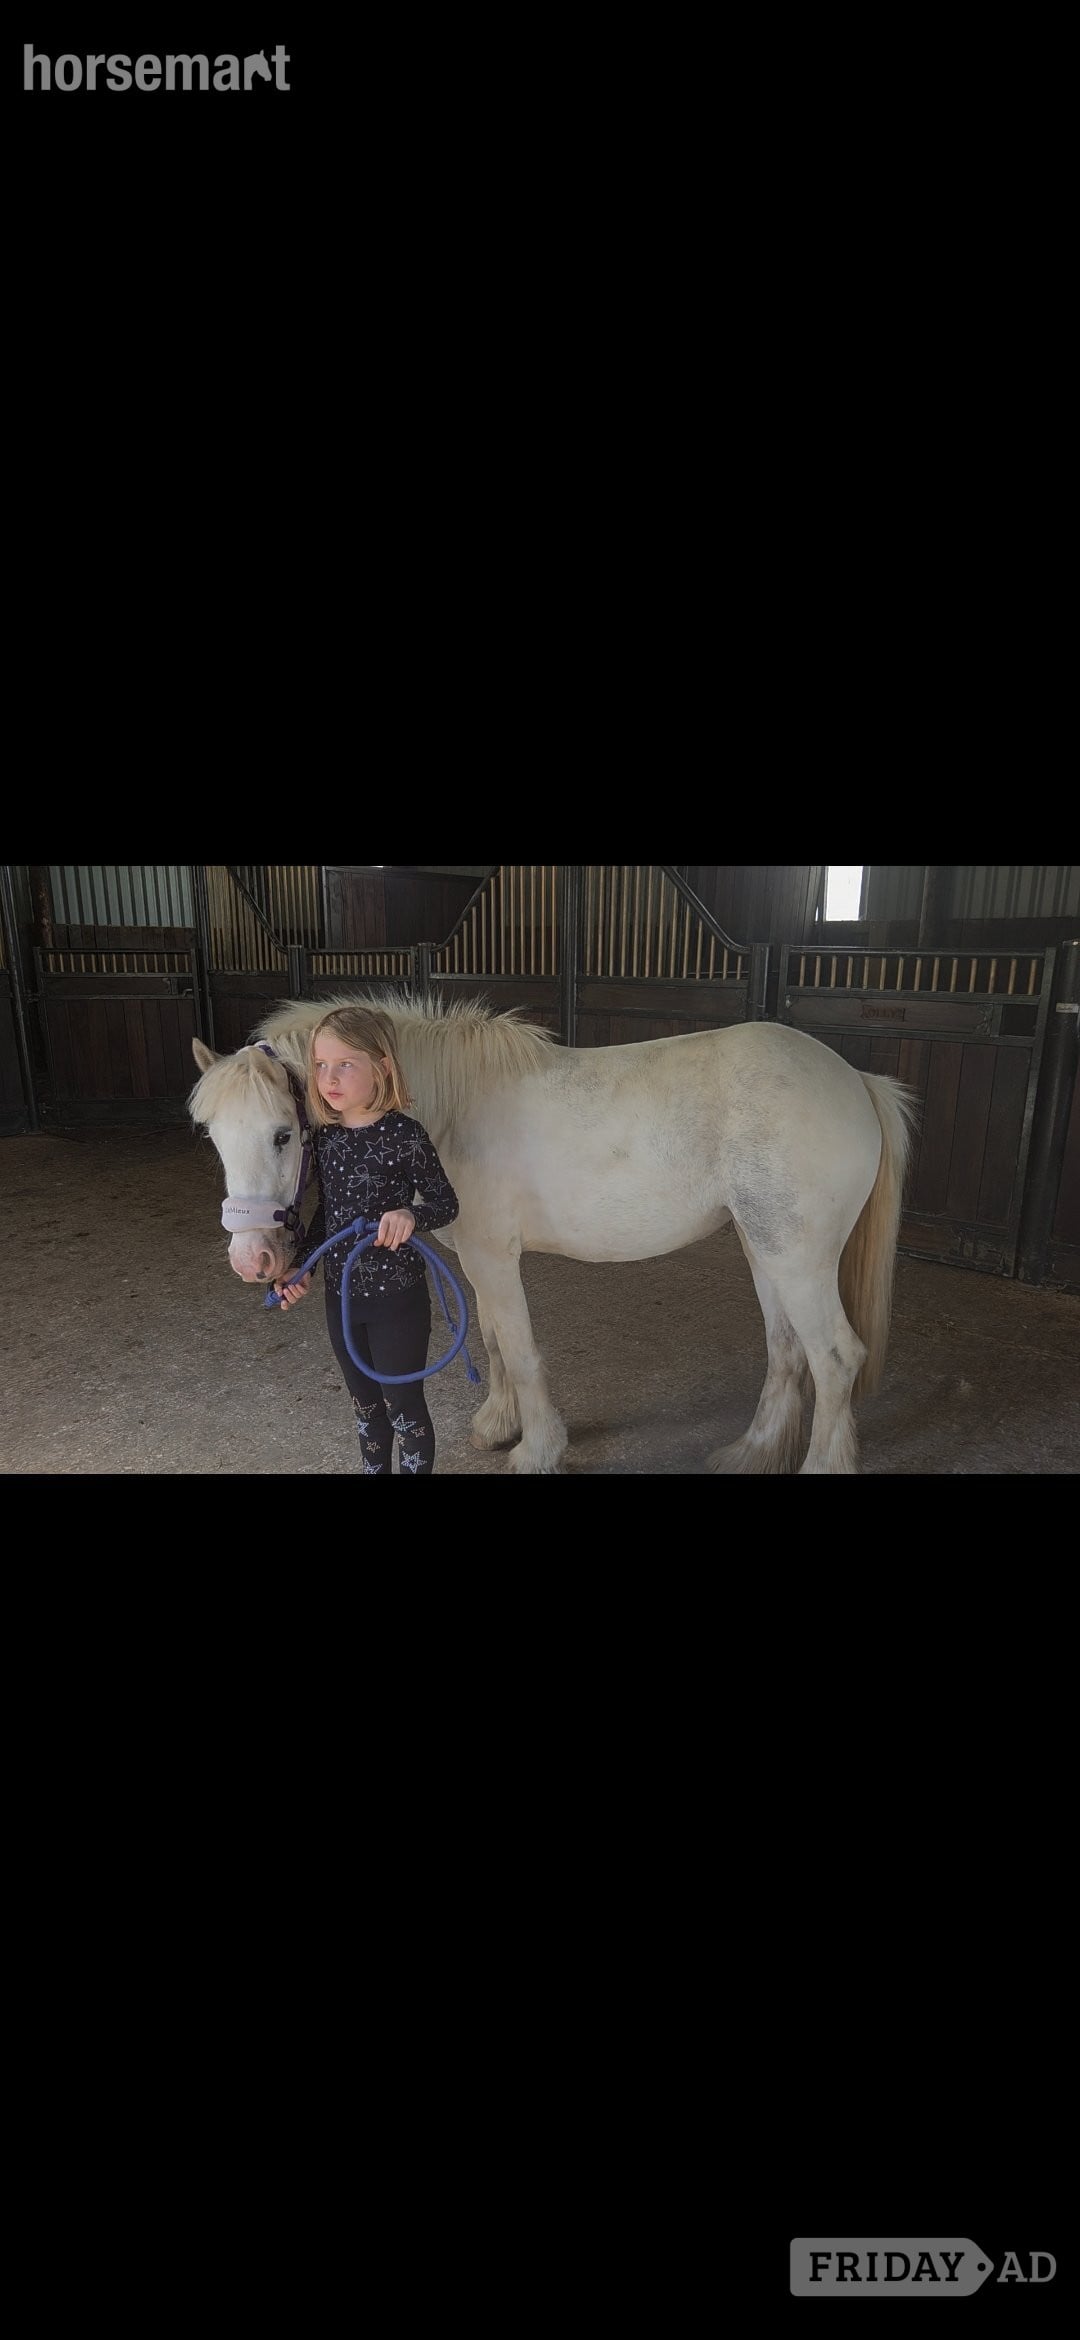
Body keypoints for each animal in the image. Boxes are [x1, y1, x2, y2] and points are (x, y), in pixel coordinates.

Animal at [188, 991, 918, 1475]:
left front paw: (536, 1448)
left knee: (834, 1360)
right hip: (764, 1250)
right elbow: (492, 1342)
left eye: (283, 1134)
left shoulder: (495, 1259)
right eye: (213, 1136)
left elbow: (520, 1349)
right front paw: (497, 1426)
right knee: (788, 1353)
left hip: (796, 1258)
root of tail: (856, 1080)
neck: (446, 1111)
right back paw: (750, 1452)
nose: (254, 1258)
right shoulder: (477, 1264)